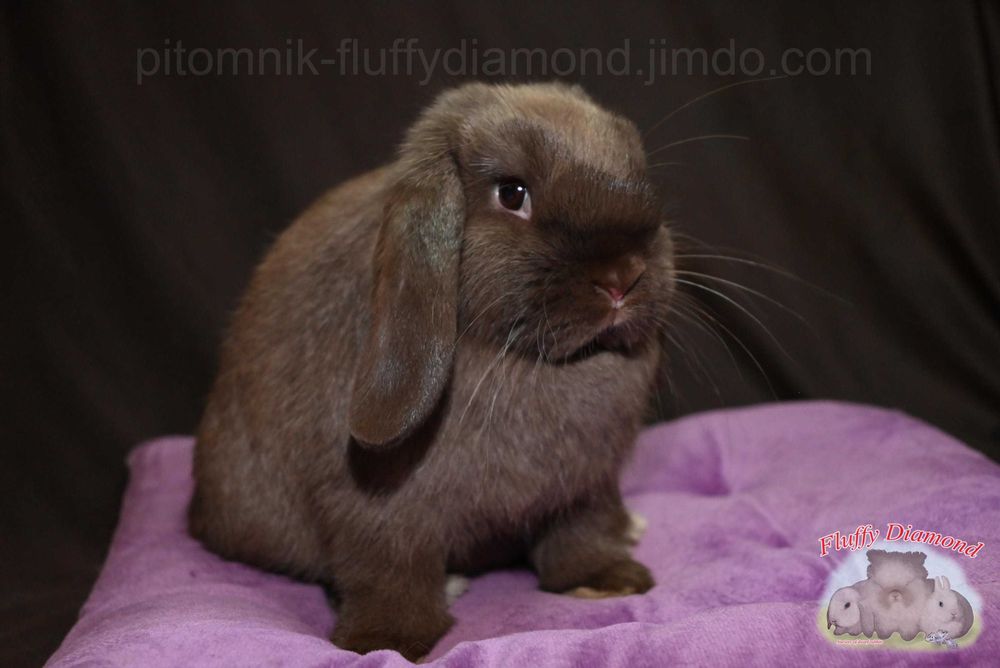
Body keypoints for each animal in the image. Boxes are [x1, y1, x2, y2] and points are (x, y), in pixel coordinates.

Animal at [188, 82, 674, 660]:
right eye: (512, 193)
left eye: (639, 171)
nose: (624, 276)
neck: (528, 360)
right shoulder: (375, 506)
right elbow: (388, 569)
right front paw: (386, 641)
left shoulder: (585, 486)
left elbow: (582, 534)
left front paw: (606, 582)